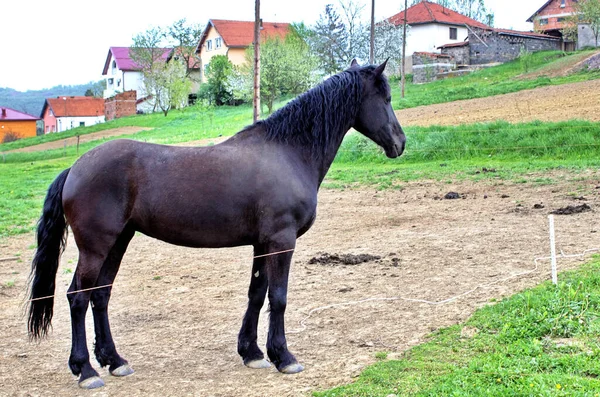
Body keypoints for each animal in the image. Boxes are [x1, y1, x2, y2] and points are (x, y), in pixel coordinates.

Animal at [27, 60, 404, 388]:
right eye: (385, 99)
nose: (400, 143)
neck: (287, 152)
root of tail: (75, 168)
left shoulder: (262, 244)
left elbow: (257, 294)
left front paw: (252, 353)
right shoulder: (281, 241)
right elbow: (279, 297)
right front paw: (284, 357)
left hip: (119, 241)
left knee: (100, 295)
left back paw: (114, 361)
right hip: (96, 247)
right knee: (78, 297)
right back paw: (86, 370)